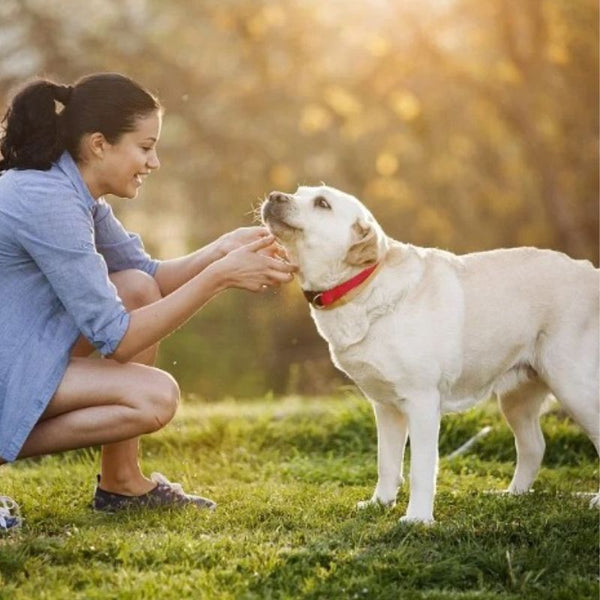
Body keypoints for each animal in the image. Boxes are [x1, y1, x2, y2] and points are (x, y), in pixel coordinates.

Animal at [262, 185, 600, 524]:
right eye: (298, 192)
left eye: (322, 203)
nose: (274, 196)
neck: (361, 287)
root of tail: (590, 271)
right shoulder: (386, 406)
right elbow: (386, 463)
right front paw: (380, 503)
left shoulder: (422, 402)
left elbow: (421, 470)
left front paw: (417, 519)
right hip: (516, 399)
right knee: (534, 447)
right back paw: (511, 495)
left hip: (574, 387)